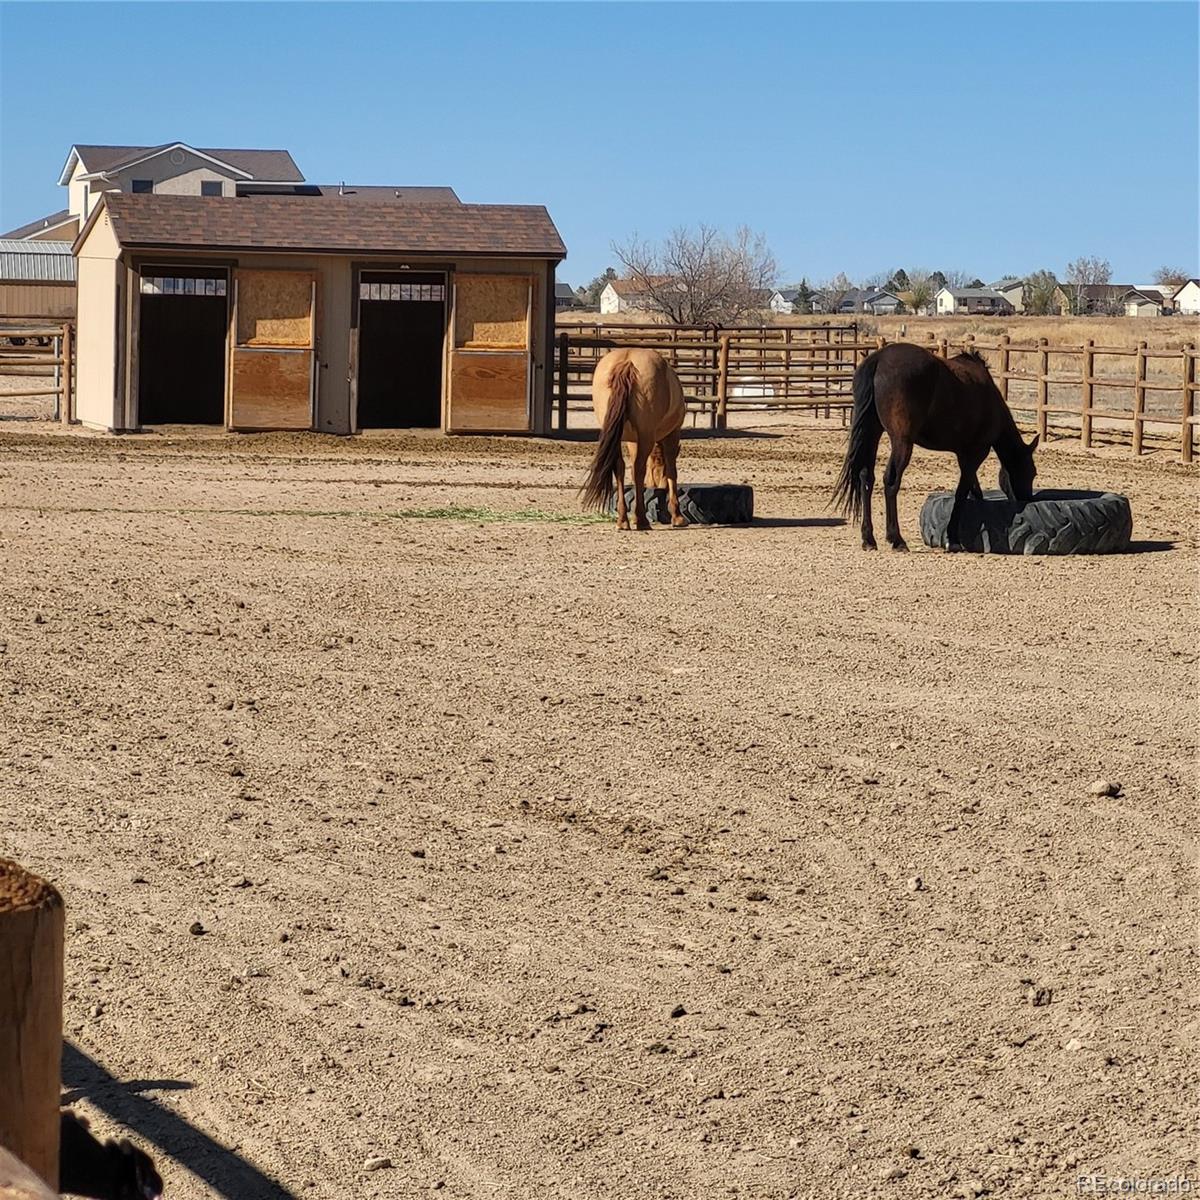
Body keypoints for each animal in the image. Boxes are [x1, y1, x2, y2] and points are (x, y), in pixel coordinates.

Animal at [578, 350, 686, 532]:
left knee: (620, 468)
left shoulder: (632, 442)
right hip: (646, 436)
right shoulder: (672, 434)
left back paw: (623, 520)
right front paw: (677, 517)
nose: (655, 485)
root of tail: (627, 362)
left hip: (619, 437)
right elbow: (672, 471)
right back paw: (642, 520)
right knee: (638, 470)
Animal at [835, 343, 1041, 552]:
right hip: (902, 442)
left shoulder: (963, 454)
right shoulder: (976, 452)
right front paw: (953, 539)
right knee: (891, 482)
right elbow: (961, 493)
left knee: (866, 477)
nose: (1027, 499)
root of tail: (879, 359)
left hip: (872, 433)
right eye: (1031, 472)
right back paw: (897, 539)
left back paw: (869, 539)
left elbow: (973, 491)